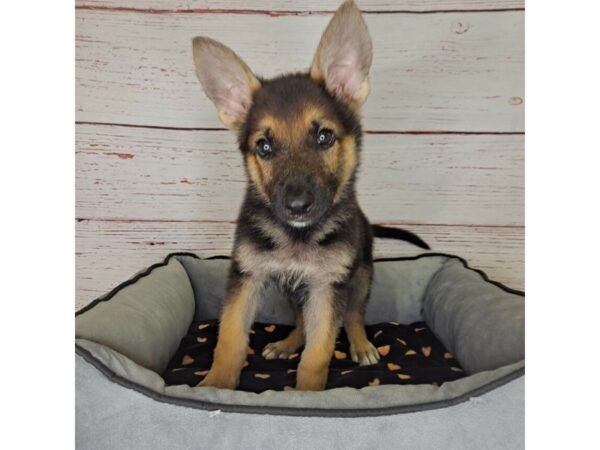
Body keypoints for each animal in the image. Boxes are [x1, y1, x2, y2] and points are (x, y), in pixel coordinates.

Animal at [195, 0, 404, 390]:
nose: (297, 206)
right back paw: (287, 343)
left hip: (361, 274)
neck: (297, 235)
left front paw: (306, 394)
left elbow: (318, 353)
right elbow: (230, 339)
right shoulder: (247, 277)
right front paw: (215, 387)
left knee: (353, 315)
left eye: (324, 137)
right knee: (303, 322)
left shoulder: (328, 286)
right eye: (263, 147)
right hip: (293, 290)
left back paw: (361, 344)